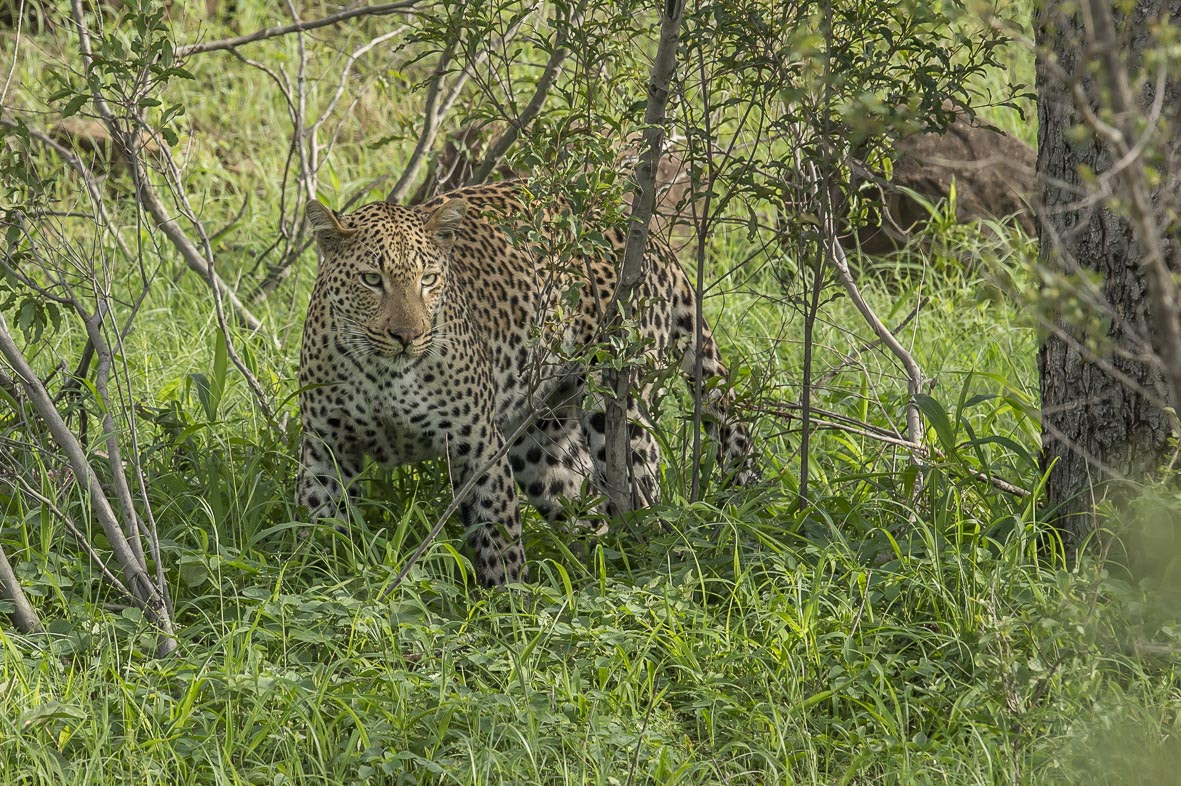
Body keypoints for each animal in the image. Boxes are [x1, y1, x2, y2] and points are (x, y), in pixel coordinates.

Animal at [296, 180, 758, 587]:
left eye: (427, 279)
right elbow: (319, 525)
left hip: (619, 412)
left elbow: (499, 536)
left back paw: (643, 571)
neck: (382, 374)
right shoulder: (325, 448)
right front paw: (320, 582)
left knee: (644, 502)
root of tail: (652, 239)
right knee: (585, 508)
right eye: (371, 280)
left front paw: (509, 606)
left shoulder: (478, 447)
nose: (408, 336)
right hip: (539, 443)